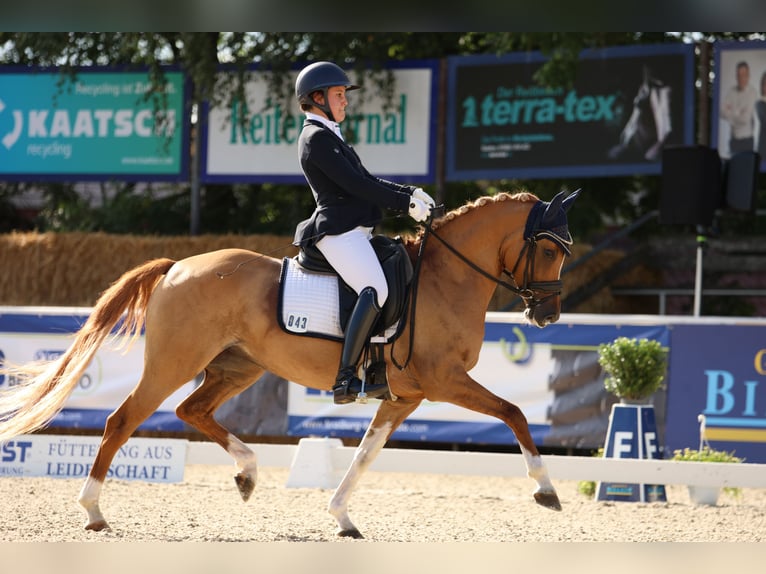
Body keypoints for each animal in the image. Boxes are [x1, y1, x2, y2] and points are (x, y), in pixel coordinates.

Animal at [0, 188, 580, 540]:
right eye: (551, 251)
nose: (548, 315)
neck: (445, 279)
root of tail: (177, 266)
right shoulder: (445, 381)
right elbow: (514, 413)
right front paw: (546, 490)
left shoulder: (406, 396)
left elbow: (365, 454)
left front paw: (342, 517)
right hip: (173, 363)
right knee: (122, 421)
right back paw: (94, 510)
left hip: (238, 368)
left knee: (192, 411)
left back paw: (247, 473)